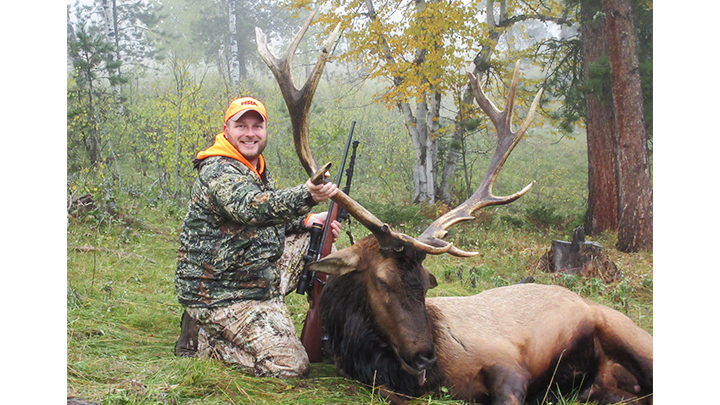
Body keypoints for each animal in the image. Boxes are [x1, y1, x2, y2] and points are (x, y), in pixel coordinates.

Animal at [258, 12, 652, 404]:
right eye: (383, 281)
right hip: (612, 380)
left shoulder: (505, 361)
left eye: (425, 282)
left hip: (626, 331)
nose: (424, 355)